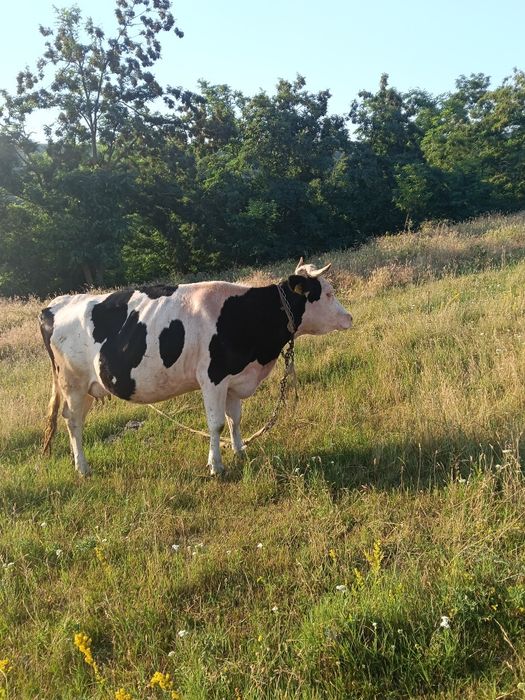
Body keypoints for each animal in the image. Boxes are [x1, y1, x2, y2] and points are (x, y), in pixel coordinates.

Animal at [39, 258, 352, 477]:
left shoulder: (234, 380)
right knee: (73, 421)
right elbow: (216, 423)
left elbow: (234, 419)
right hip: (73, 383)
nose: (349, 317)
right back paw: (83, 468)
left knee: (73, 420)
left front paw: (240, 451)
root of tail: (55, 304)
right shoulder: (212, 377)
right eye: (327, 293)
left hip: (88, 388)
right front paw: (216, 466)